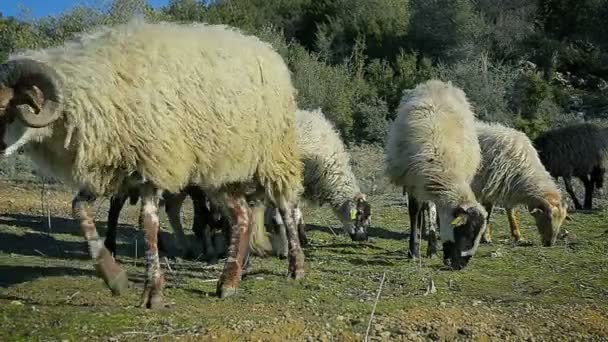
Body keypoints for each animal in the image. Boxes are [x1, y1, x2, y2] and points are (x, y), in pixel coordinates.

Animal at [0, 18, 304, 308]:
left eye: (8, 106)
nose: (0, 148)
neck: (87, 90)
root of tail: (268, 51)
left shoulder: (154, 162)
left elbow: (148, 223)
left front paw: (153, 292)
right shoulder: (114, 169)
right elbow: (80, 208)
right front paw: (114, 277)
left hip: (274, 158)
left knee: (286, 209)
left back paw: (295, 267)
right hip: (220, 169)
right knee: (242, 216)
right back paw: (229, 281)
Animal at [247, 108, 370, 258]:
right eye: (360, 215)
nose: (363, 238)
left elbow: (295, 214)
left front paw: (300, 238)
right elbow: (288, 216)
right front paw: (290, 245)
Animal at [384, 79, 490, 270]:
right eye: (465, 233)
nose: (461, 265)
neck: (443, 167)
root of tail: (435, 82)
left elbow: (437, 217)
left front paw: (435, 249)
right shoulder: (412, 182)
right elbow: (414, 213)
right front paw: (413, 251)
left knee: (431, 208)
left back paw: (432, 244)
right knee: (423, 210)